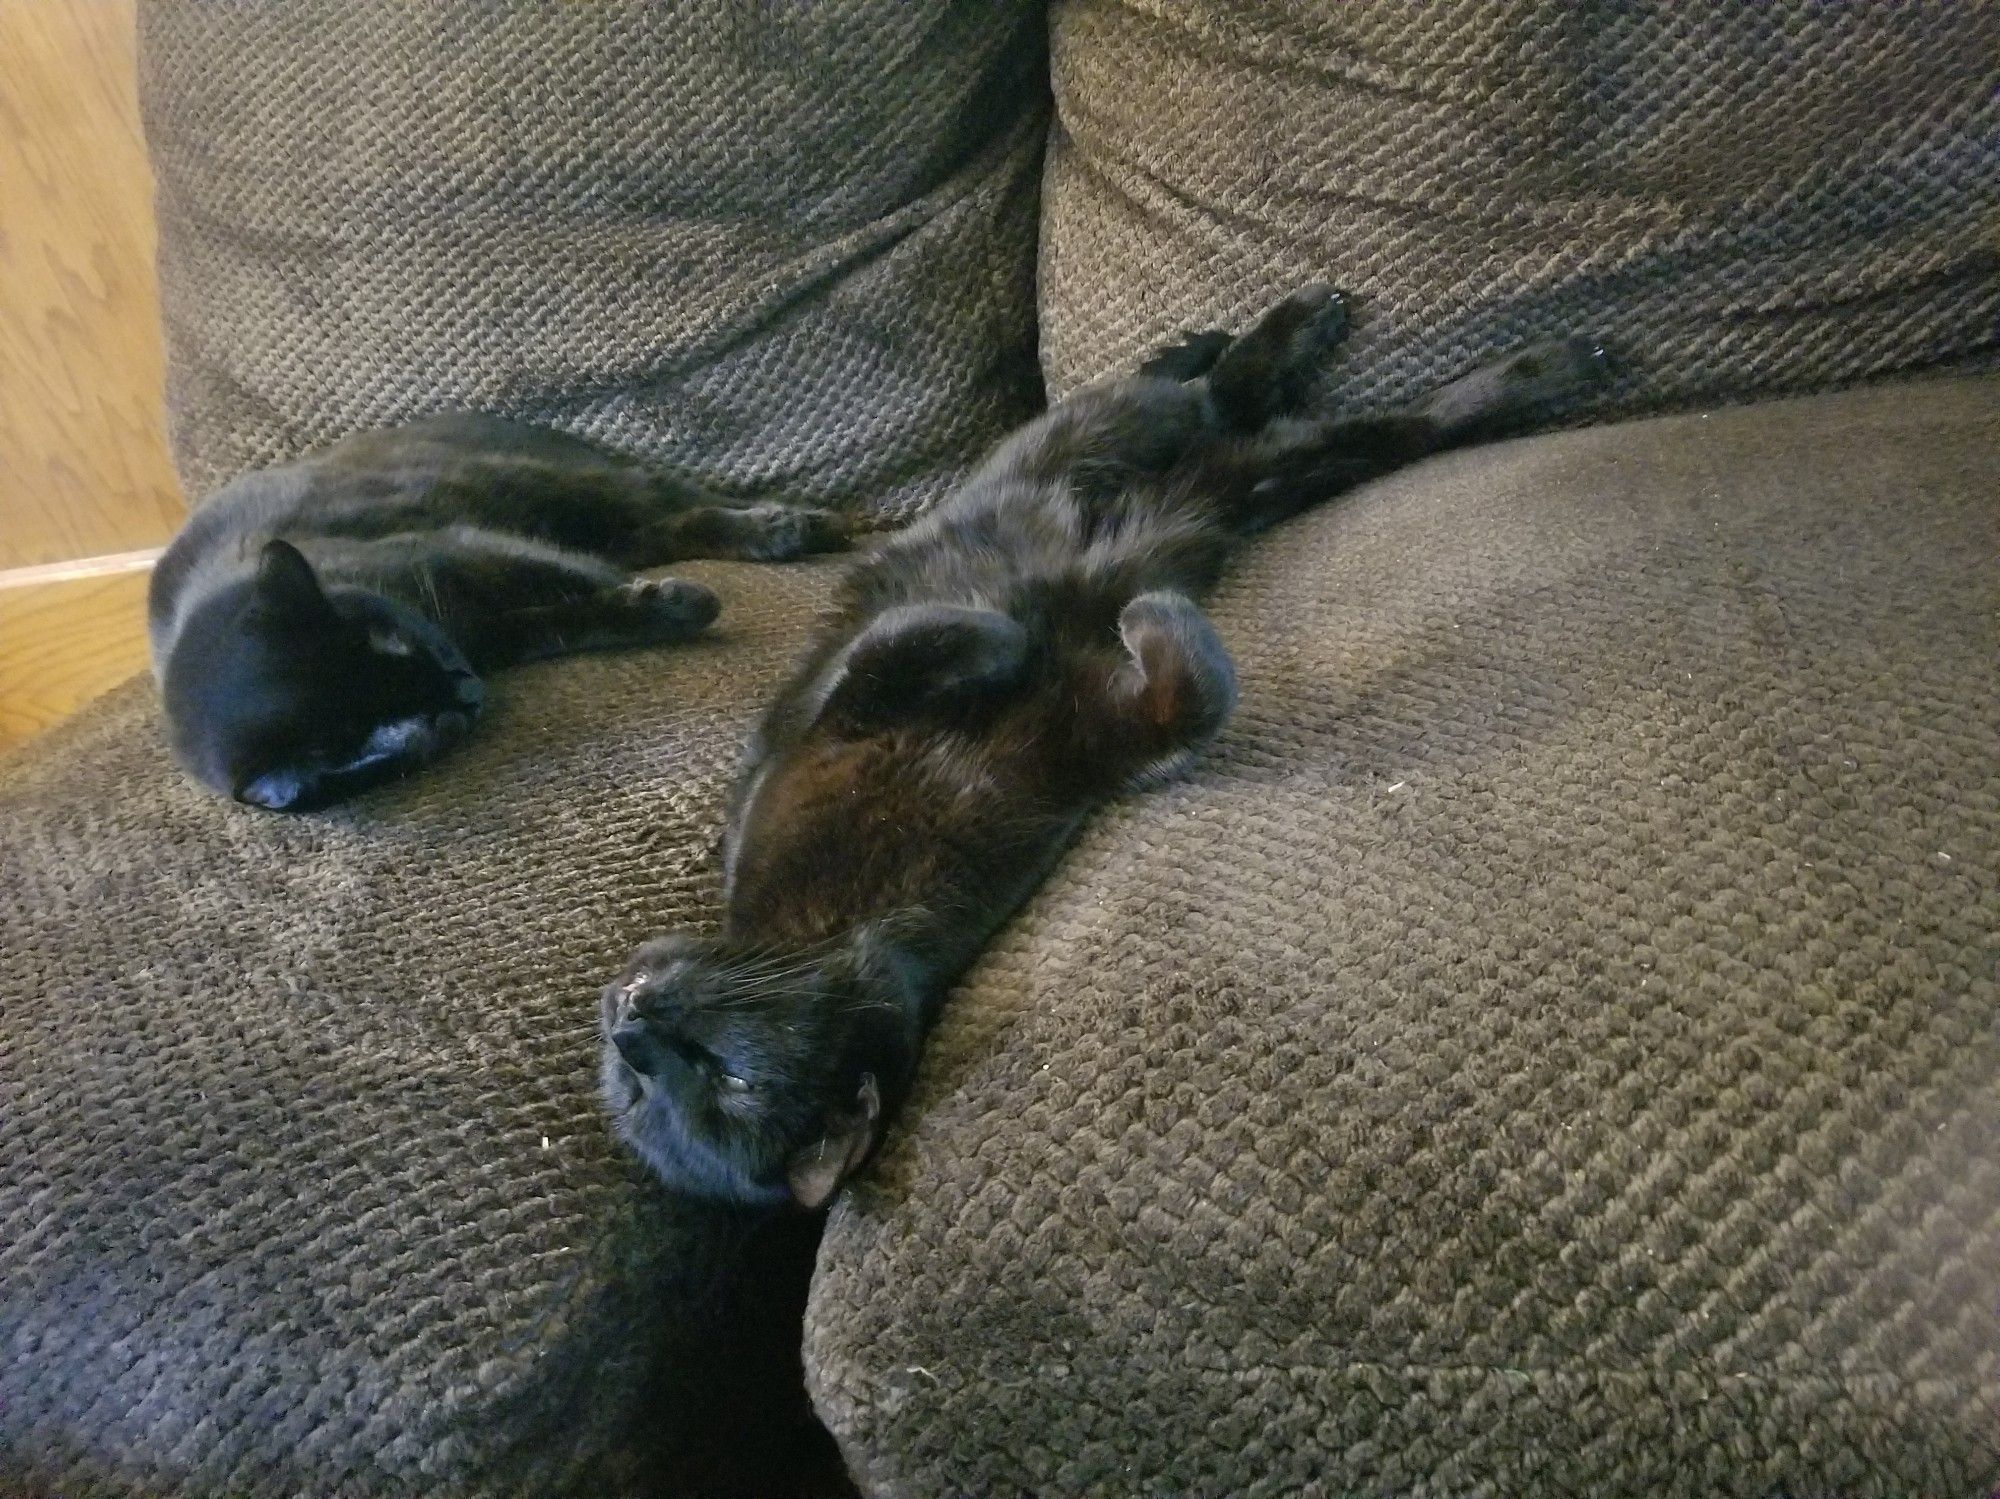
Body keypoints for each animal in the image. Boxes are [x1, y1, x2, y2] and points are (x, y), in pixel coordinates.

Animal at [150, 411, 844, 811]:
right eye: (429, 727)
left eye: (403, 640)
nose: (466, 689)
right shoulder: (491, 622)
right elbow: (560, 623)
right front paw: (657, 604)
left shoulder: (464, 549)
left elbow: (574, 583)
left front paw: (675, 604)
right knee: (668, 524)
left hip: (555, 485)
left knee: (682, 502)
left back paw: (801, 526)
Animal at [592, 287, 1608, 1215]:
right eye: (703, 1087)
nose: (628, 1020)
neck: (869, 916)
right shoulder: (1093, 746)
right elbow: (1192, 697)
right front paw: (1141, 618)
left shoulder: (838, 717)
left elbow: (924, 639)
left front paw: (1033, 625)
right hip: (1236, 484)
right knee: (1339, 429)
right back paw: (1540, 366)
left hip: (1077, 445)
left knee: (1194, 398)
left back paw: (1297, 328)